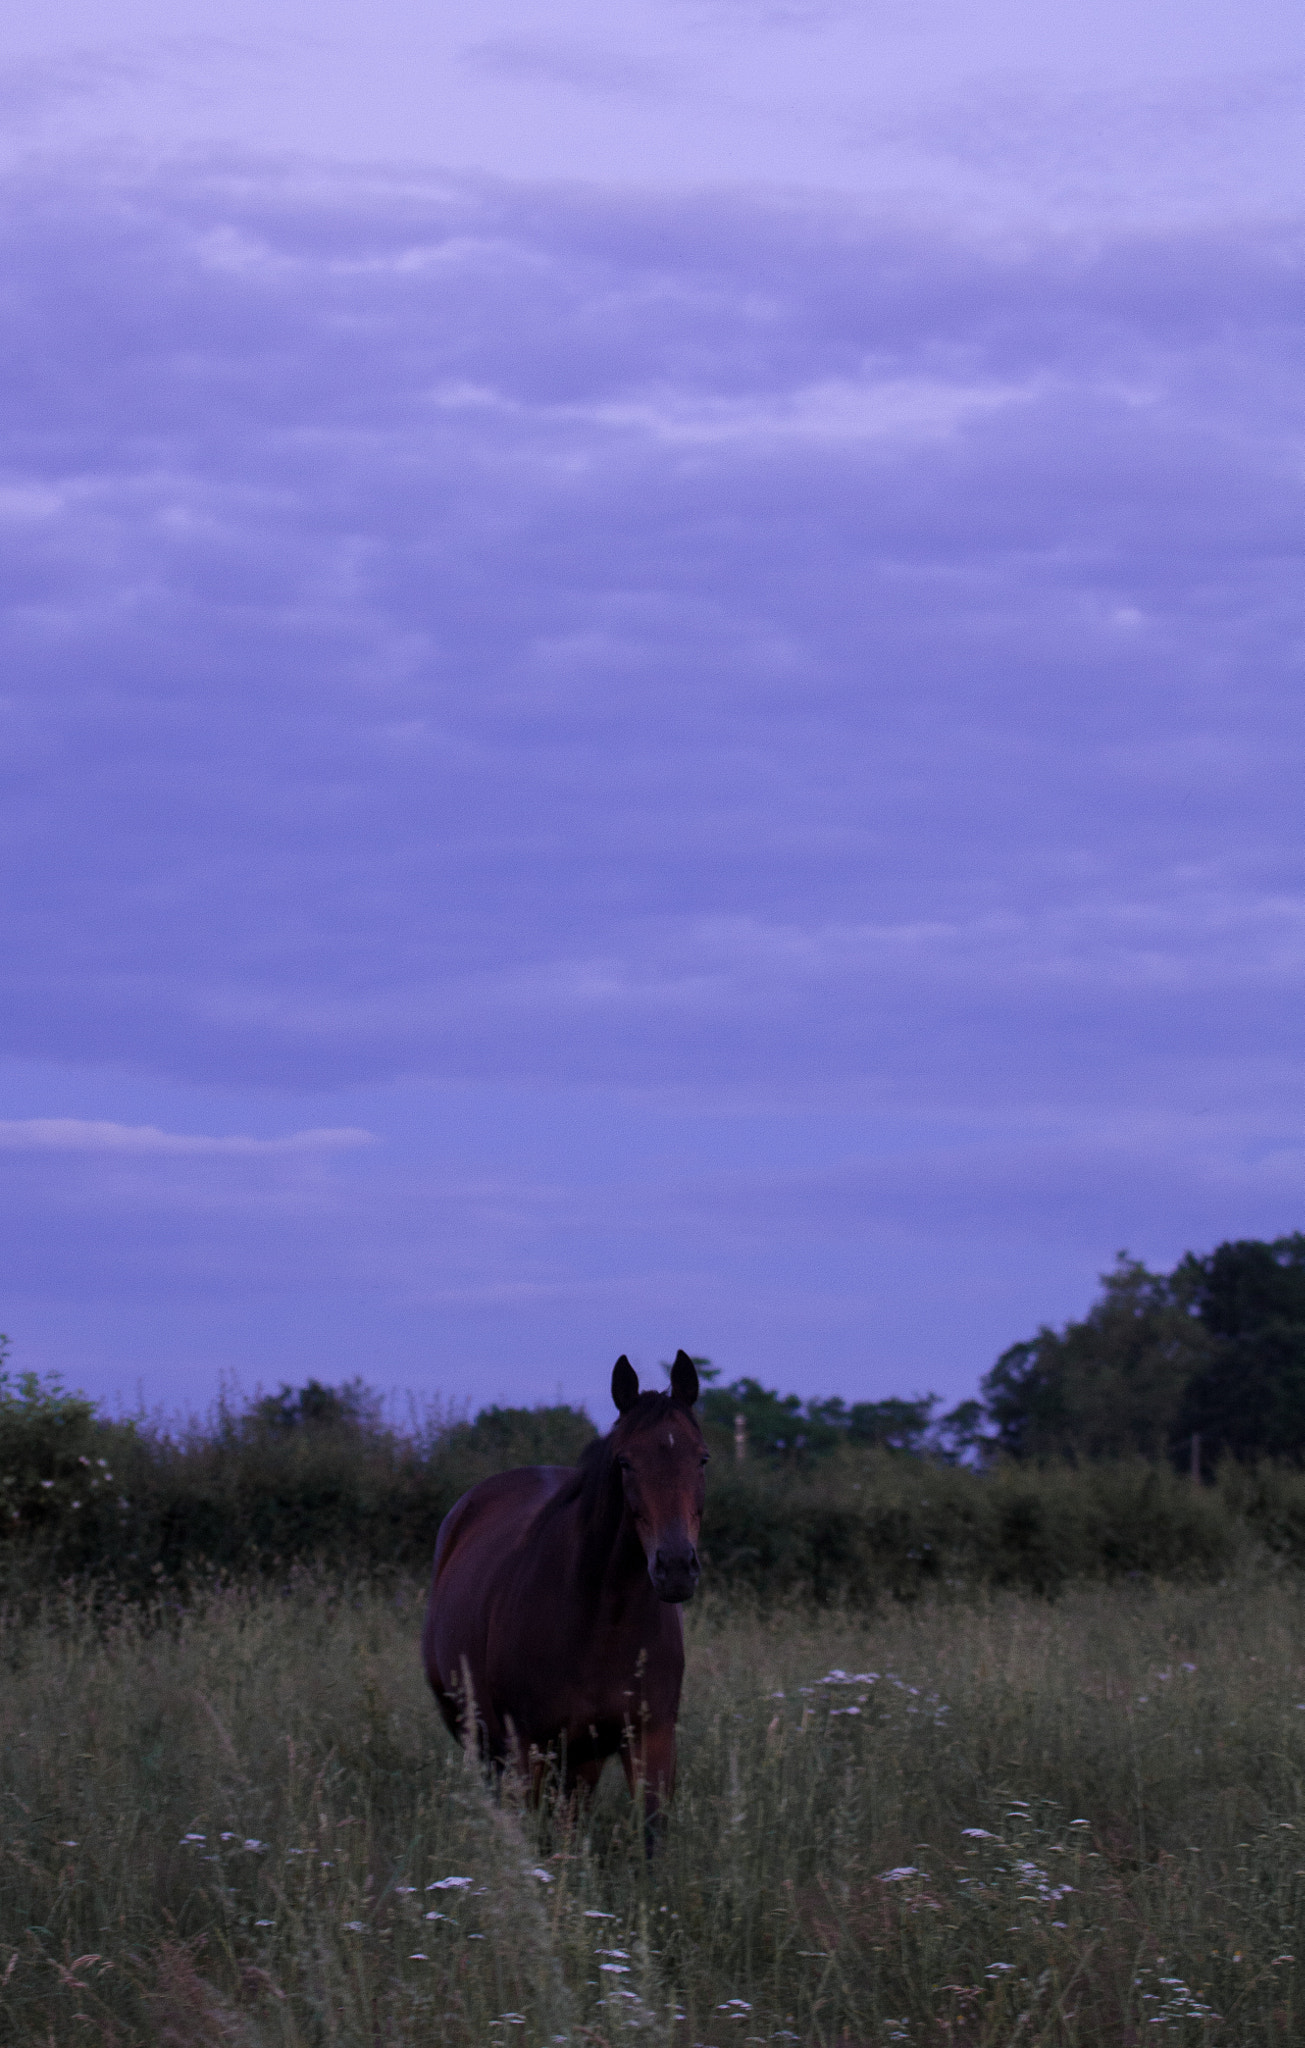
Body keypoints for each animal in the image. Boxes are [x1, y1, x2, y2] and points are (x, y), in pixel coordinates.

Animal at [422, 1343, 708, 1843]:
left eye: (703, 1459)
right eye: (625, 1462)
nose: (675, 1567)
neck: (602, 1622)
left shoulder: (651, 1740)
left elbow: (649, 1838)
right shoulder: (526, 1747)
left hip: (579, 1758)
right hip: (481, 1738)